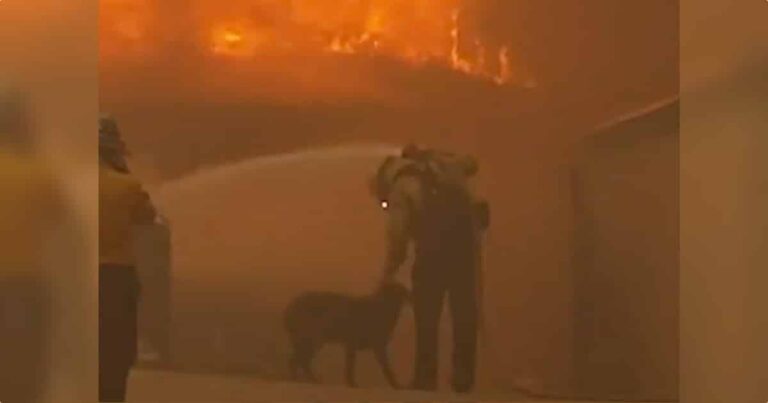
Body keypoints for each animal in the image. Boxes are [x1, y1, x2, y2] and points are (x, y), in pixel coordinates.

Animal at [284, 282, 412, 390]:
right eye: (391, 292)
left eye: (400, 292)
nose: (392, 302)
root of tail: (289, 308)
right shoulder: (358, 344)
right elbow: (381, 368)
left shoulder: (362, 345)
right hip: (311, 338)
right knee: (298, 360)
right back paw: (305, 380)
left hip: (308, 340)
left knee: (298, 360)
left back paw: (304, 380)